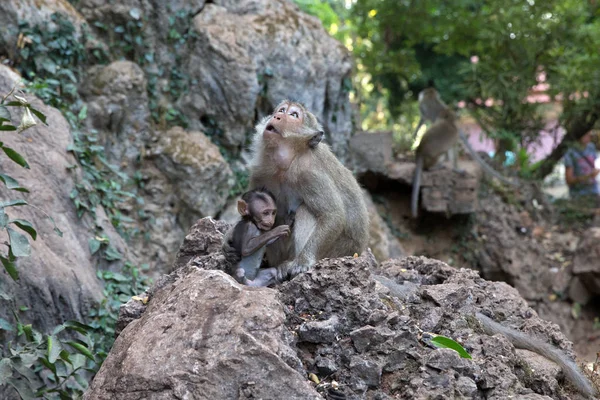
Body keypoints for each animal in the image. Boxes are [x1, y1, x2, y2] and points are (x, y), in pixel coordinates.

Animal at [246, 100, 368, 282]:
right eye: (281, 110)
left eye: (293, 115)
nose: (277, 116)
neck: (288, 161)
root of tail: (357, 252)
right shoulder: (260, 174)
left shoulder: (310, 174)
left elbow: (333, 215)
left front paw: (303, 261)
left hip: (337, 251)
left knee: (305, 210)